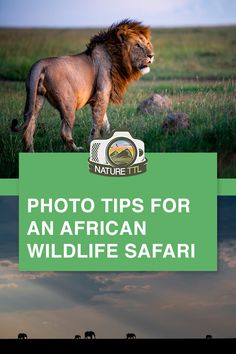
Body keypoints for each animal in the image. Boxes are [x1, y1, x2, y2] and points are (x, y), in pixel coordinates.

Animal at [12, 19, 154, 151]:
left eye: (147, 44)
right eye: (137, 45)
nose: (151, 55)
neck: (116, 56)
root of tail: (41, 64)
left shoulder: (97, 97)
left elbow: (105, 122)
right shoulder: (102, 93)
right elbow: (97, 123)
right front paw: (93, 142)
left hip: (36, 99)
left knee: (28, 129)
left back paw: (30, 151)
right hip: (68, 103)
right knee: (64, 131)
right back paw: (76, 149)